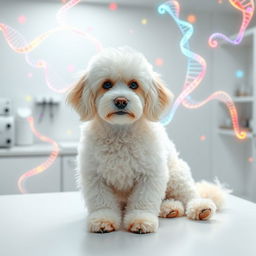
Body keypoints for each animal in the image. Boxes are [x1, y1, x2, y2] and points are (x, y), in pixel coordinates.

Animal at [67, 46, 228, 234]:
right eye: (106, 84)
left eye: (134, 85)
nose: (121, 101)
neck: (120, 133)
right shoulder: (95, 175)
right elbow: (102, 202)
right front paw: (102, 220)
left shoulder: (150, 174)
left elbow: (143, 201)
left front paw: (141, 220)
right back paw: (170, 209)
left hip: (176, 175)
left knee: (189, 195)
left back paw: (200, 208)